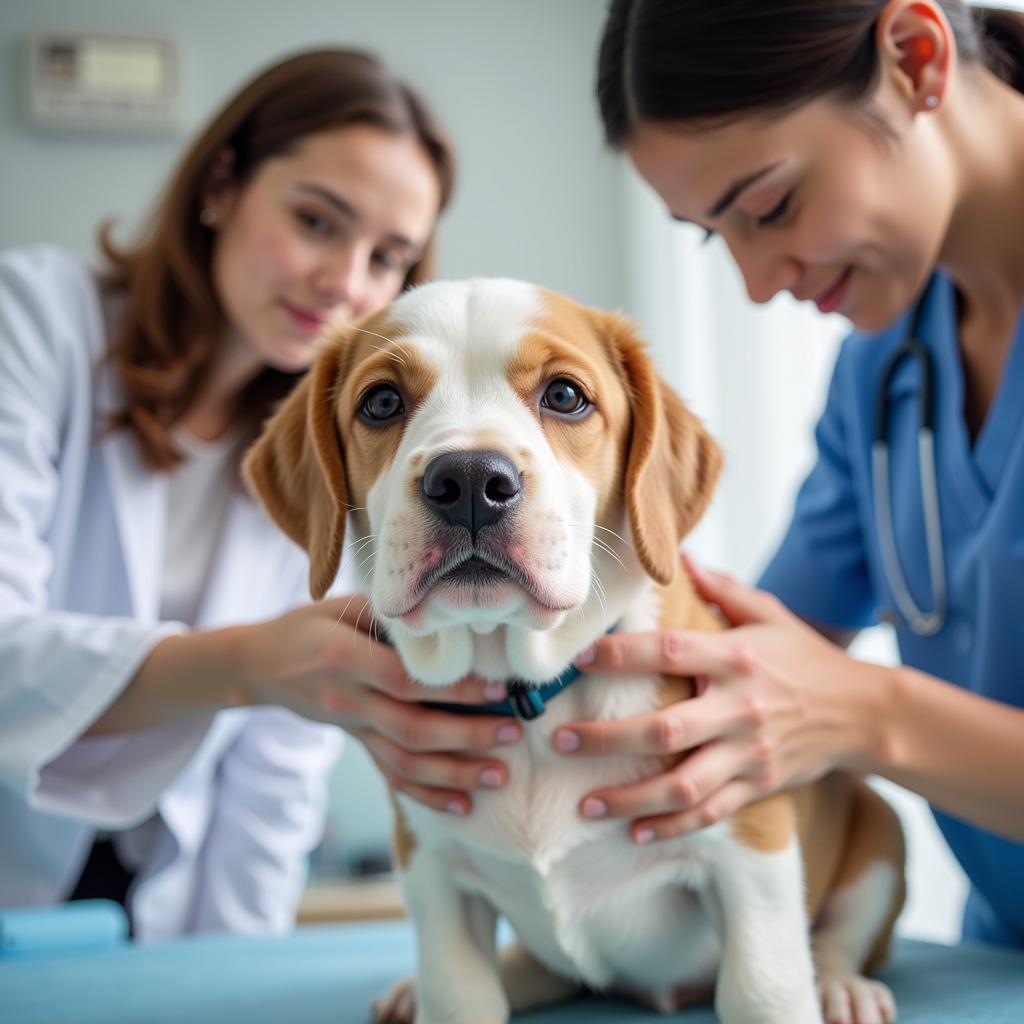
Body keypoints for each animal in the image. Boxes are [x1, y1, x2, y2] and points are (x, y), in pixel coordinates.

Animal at [243, 280, 909, 1024]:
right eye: (381, 403)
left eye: (565, 395)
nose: (469, 481)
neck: (530, 692)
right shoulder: (433, 870)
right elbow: (460, 994)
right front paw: (434, 991)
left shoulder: (749, 841)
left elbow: (763, 990)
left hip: (882, 840)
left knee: (845, 935)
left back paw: (843, 986)